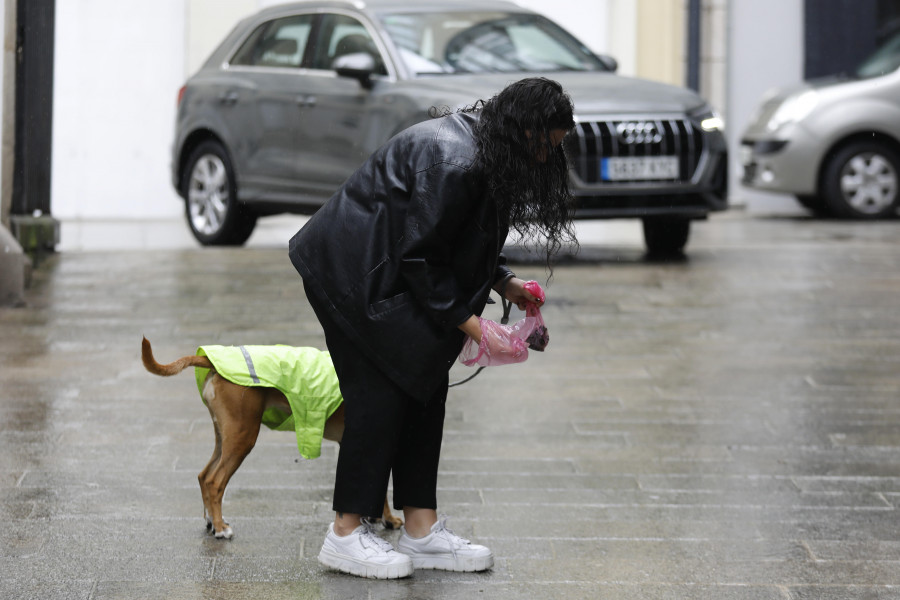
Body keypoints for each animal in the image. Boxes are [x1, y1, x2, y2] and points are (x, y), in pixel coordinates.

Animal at [142, 338, 404, 540]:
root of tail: (212, 362)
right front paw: (385, 518)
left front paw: (383, 518)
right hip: (242, 437)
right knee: (214, 481)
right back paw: (220, 528)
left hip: (224, 437)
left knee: (203, 475)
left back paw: (211, 521)